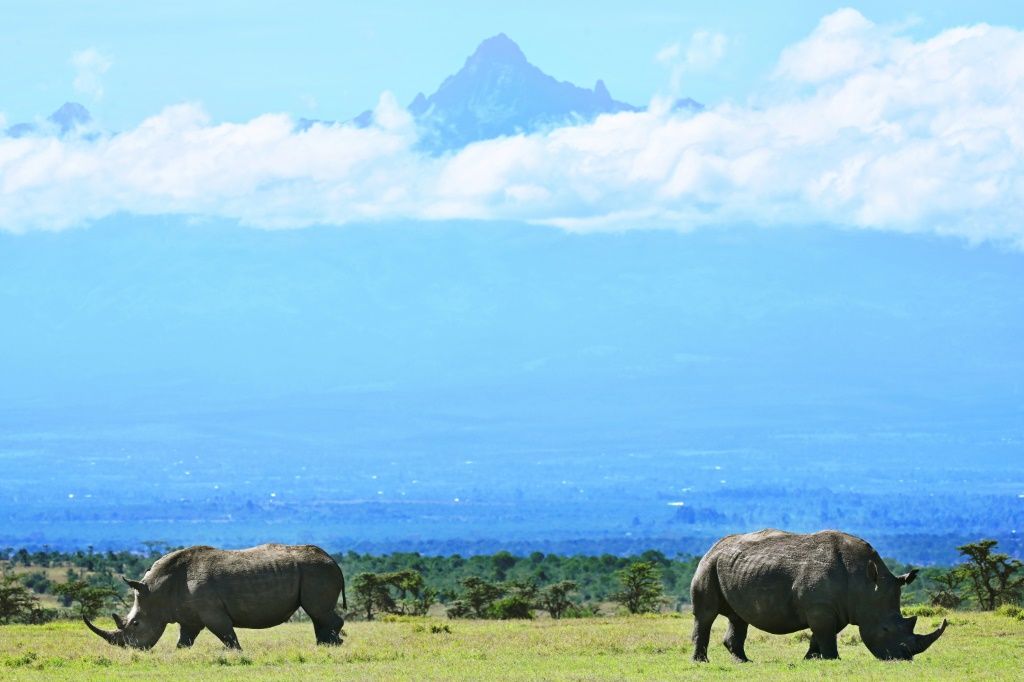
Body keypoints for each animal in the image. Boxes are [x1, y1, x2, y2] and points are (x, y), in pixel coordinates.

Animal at [83, 540, 348, 647]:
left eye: (135, 624)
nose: (129, 649)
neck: (158, 591)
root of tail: (334, 561)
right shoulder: (188, 616)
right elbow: (184, 641)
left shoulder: (212, 612)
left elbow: (228, 636)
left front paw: (238, 654)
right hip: (314, 572)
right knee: (317, 614)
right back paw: (324, 645)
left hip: (316, 572)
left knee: (318, 611)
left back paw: (331, 646)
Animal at [692, 528, 946, 659]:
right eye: (885, 629)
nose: (903, 658)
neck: (864, 583)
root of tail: (714, 545)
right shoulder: (820, 608)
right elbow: (825, 635)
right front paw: (834, 660)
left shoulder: (835, 609)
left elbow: (821, 636)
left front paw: (810, 660)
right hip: (708, 564)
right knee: (705, 615)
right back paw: (702, 662)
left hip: (733, 567)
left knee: (738, 618)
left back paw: (743, 662)